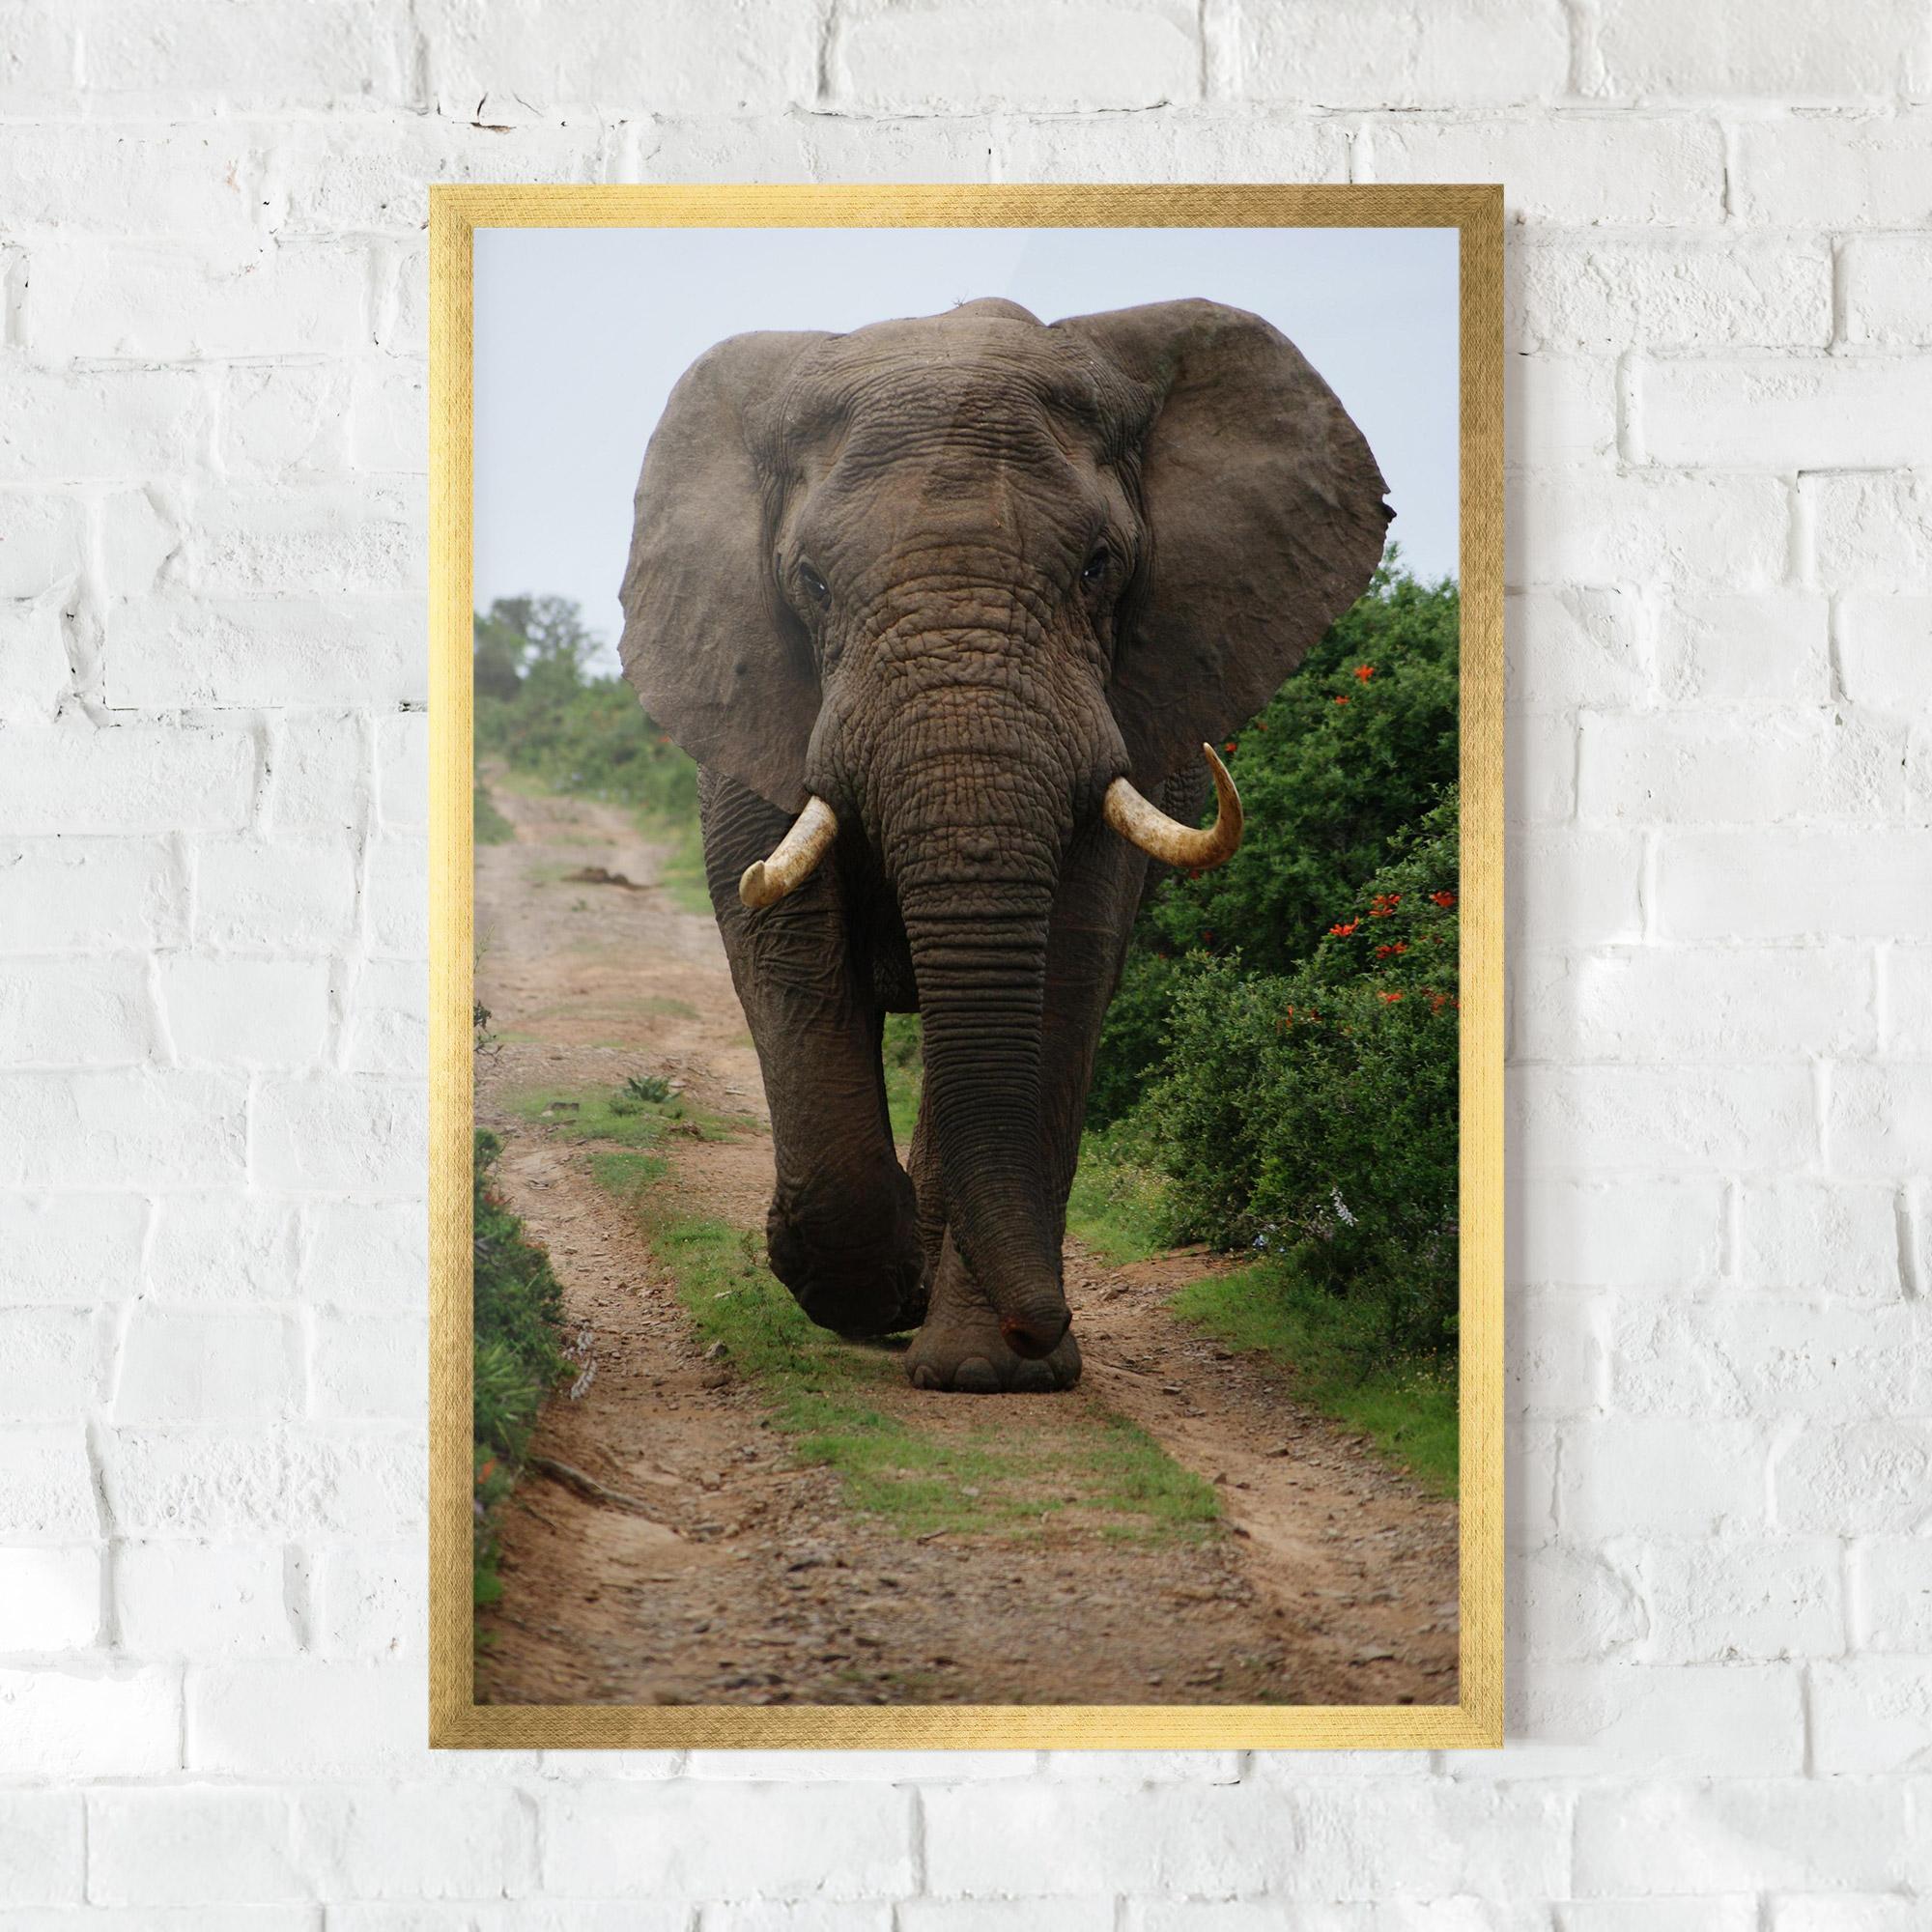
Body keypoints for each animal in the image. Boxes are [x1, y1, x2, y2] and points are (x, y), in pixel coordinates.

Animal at [619, 296, 1389, 1393]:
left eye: (1099, 567)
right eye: (810, 583)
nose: (1043, 1323)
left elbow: (1066, 964)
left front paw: (990, 1372)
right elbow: (784, 947)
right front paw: (859, 1289)